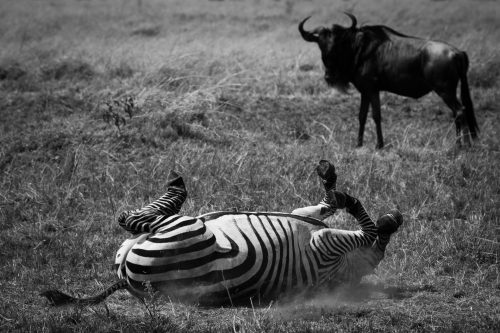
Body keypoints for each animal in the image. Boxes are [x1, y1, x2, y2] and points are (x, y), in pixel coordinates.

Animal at [41, 160, 404, 304]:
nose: (398, 216)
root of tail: (129, 282)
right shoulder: (311, 224)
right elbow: (327, 205)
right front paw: (332, 183)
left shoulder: (326, 244)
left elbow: (365, 228)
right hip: (146, 241)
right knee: (137, 221)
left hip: (184, 230)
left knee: (136, 219)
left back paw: (173, 184)